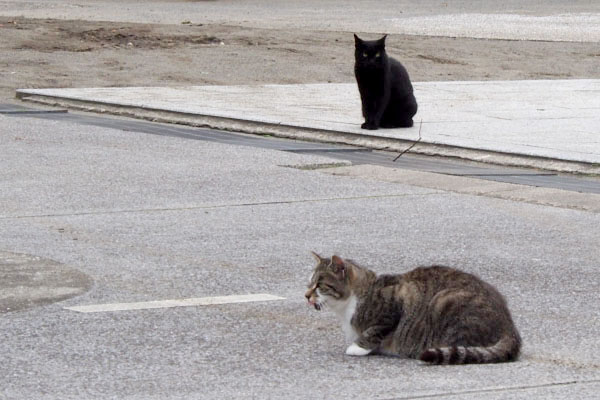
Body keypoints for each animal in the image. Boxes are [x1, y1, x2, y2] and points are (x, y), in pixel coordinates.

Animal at [304, 255, 520, 364]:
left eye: (319, 285)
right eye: (309, 283)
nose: (306, 295)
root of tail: (510, 327)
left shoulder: (395, 305)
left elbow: (375, 331)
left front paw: (357, 347)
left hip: (445, 300)